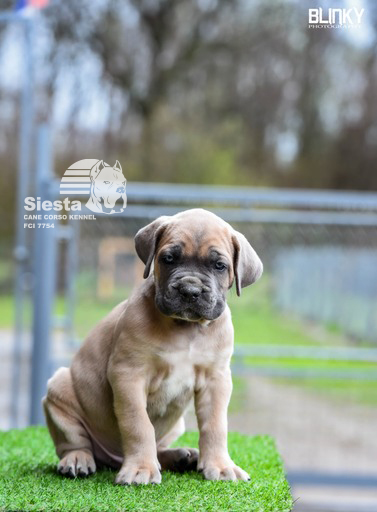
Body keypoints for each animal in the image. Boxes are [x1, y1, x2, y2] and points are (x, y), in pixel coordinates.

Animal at [43, 208, 262, 484]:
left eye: (219, 266)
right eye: (168, 258)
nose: (190, 290)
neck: (186, 329)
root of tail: (113, 459)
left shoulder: (216, 379)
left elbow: (215, 425)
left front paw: (221, 465)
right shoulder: (129, 374)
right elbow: (138, 424)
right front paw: (141, 468)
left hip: (176, 425)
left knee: (160, 447)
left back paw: (181, 456)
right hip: (58, 390)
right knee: (74, 442)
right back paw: (77, 459)